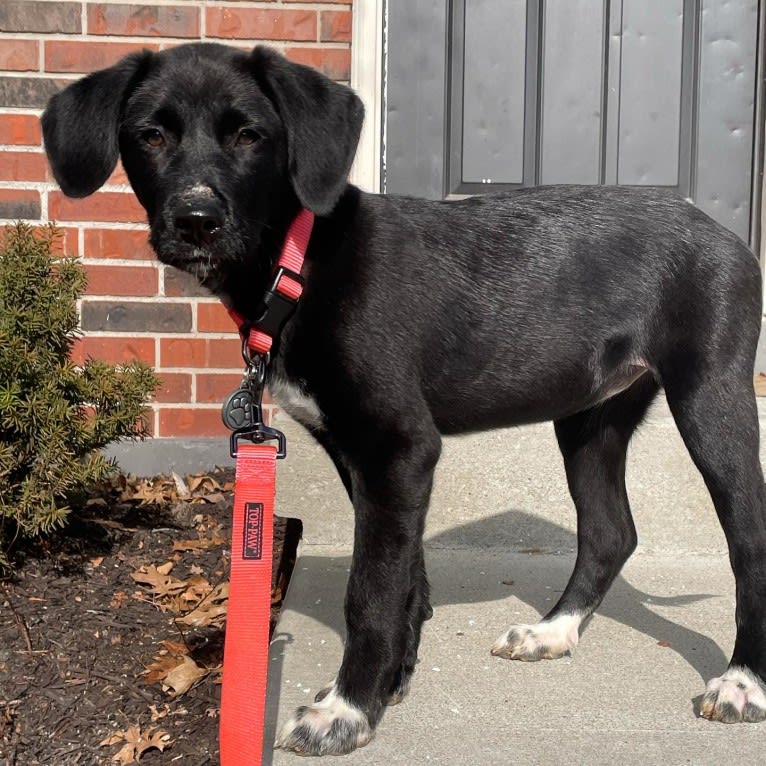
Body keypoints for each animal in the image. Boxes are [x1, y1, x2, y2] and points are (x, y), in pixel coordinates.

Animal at [40, 43, 766, 756]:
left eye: (249, 135)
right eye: (150, 136)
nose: (196, 220)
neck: (298, 263)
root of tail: (723, 231)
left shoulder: (399, 447)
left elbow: (372, 590)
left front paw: (348, 709)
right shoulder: (361, 452)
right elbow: (406, 578)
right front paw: (392, 680)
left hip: (712, 396)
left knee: (747, 541)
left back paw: (740, 682)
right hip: (591, 415)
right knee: (610, 531)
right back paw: (553, 631)